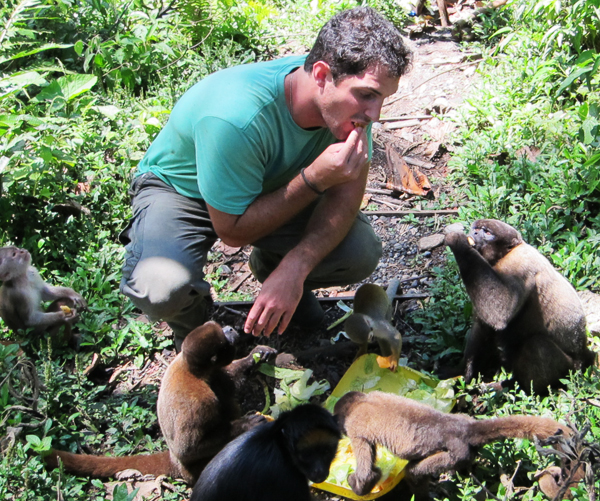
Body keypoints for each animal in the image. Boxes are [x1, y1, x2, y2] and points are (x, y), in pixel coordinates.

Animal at [336, 390, 568, 496]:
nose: (339, 430)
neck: (361, 401)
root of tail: (463, 428)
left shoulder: (355, 428)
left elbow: (367, 474)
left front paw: (356, 485)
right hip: (464, 436)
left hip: (456, 453)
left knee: (414, 472)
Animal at [442, 219, 592, 394]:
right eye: (476, 229)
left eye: (487, 233)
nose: (474, 233)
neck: (505, 253)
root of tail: (583, 357)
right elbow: (483, 326)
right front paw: (463, 373)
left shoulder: (518, 263)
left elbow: (500, 311)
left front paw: (457, 241)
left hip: (569, 370)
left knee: (537, 345)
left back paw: (515, 387)